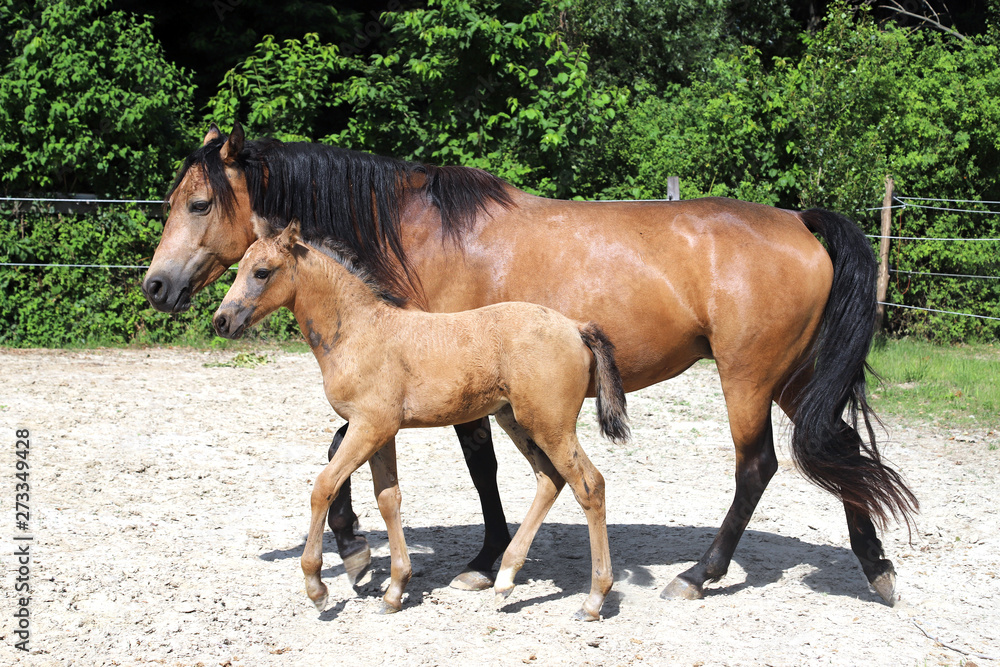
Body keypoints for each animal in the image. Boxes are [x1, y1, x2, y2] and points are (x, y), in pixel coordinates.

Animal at [212, 217, 630, 619]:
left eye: (262, 272)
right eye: (239, 267)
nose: (221, 321)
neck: (358, 331)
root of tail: (575, 327)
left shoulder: (369, 427)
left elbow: (324, 487)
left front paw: (317, 587)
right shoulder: (382, 432)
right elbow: (387, 498)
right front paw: (395, 589)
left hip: (550, 424)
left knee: (589, 485)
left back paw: (593, 600)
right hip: (515, 420)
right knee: (550, 479)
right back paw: (506, 578)